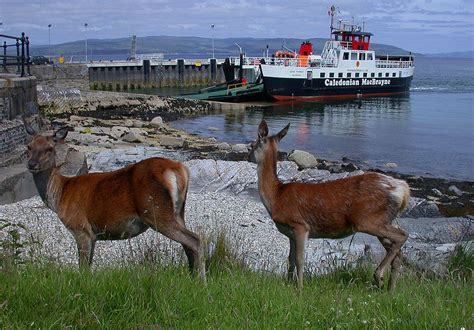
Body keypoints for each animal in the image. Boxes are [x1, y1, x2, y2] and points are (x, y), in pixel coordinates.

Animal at [23, 120, 206, 282]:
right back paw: (192, 278)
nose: (31, 164)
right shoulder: (93, 235)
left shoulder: (80, 227)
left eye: (49, 148)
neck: (61, 194)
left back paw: (201, 282)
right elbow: (88, 265)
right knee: (188, 244)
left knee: (195, 240)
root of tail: (179, 169)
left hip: (156, 211)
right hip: (178, 211)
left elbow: (83, 268)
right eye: (29, 147)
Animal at [250, 120, 410, 290]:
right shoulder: (290, 232)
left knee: (402, 235)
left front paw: (299, 289)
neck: (276, 196)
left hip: (367, 219)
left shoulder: (300, 225)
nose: (248, 155)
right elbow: (290, 259)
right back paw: (389, 289)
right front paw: (288, 284)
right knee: (397, 254)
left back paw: (379, 276)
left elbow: (300, 260)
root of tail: (403, 190)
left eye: (251, 145)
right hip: (381, 220)